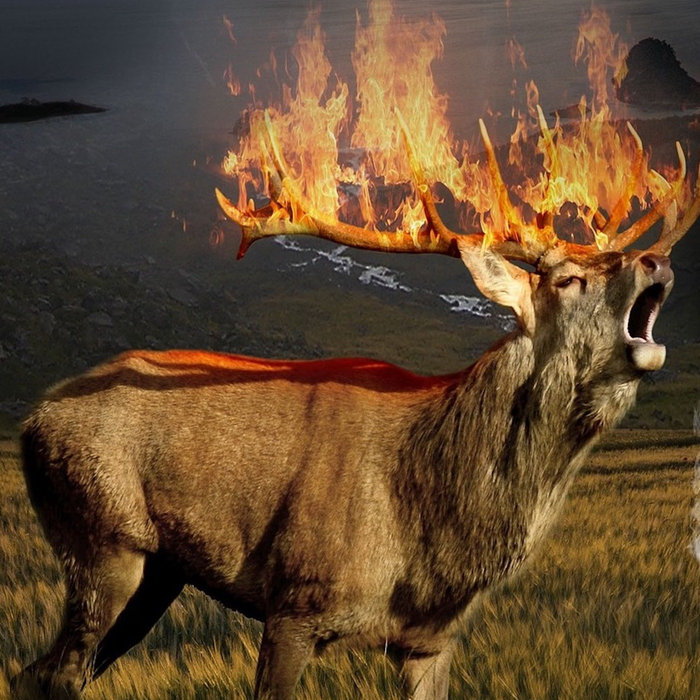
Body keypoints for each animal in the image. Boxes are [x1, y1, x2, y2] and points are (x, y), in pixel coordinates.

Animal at [14, 110, 699, 700]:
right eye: (568, 279)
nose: (656, 259)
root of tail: (31, 420)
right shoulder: (295, 600)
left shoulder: (432, 641)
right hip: (101, 539)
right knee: (54, 673)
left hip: (157, 573)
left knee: (44, 673)